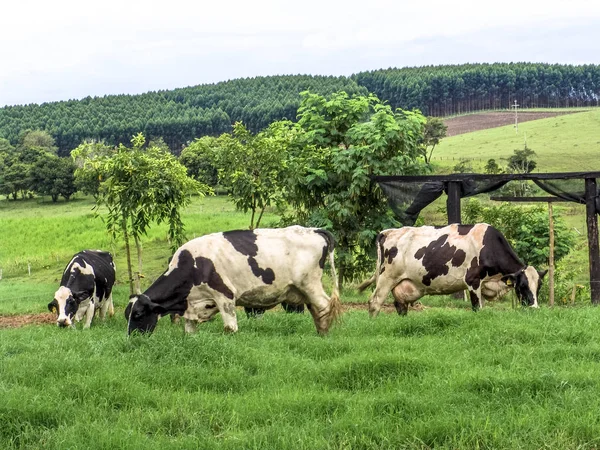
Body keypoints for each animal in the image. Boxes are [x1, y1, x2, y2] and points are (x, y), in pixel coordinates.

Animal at [125, 225, 342, 334]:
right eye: (127, 315)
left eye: (138, 315)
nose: (132, 339)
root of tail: (314, 229)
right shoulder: (193, 305)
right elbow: (189, 331)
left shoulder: (225, 296)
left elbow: (230, 328)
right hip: (303, 289)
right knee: (316, 309)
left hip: (310, 284)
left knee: (324, 307)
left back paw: (324, 335)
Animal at [358, 224, 548, 316]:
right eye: (522, 286)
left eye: (538, 287)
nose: (535, 308)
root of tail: (388, 232)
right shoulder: (472, 281)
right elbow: (477, 308)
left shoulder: (483, 285)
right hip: (386, 278)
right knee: (374, 303)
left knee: (400, 305)